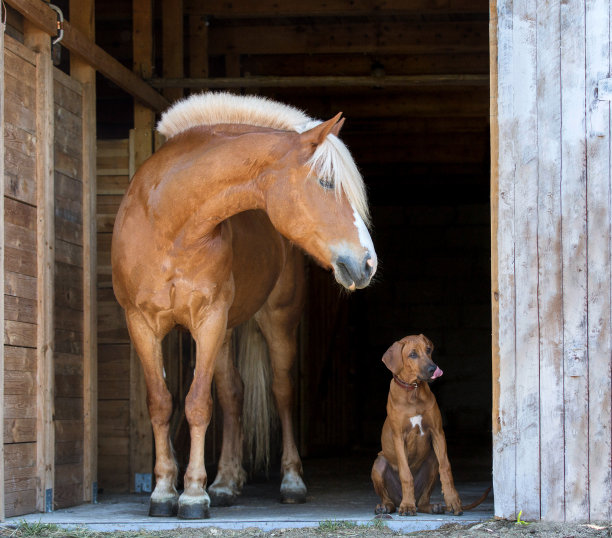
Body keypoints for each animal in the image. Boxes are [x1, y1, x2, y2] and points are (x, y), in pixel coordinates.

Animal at [111, 91, 378, 516]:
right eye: (326, 182)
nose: (368, 263)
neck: (168, 223)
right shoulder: (142, 324)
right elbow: (162, 403)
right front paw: (165, 492)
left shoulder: (209, 319)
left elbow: (198, 404)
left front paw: (192, 495)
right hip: (226, 331)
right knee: (233, 394)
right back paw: (225, 483)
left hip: (275, 321)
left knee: (281, 392)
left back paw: (290, 482)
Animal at [372, 332, 482, 512]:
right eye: (412, 354)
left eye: (428, 350)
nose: (433, 369)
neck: (413, 391)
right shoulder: (398, 437)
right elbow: (405, 473)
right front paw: (407, 506)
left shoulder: (437, 432)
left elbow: (446, 468)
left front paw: (452, 500)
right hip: (379, 463)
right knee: (388, 498)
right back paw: (388, 506)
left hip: (431, 461)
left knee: (424, 499)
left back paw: (432, 507)